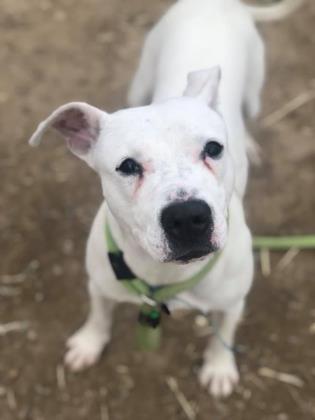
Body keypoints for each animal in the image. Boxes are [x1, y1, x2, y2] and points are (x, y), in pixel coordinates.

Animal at [30, 0, 304, 398]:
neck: (163, 274)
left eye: (213, 149)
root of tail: (220, 4)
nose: (188, 217)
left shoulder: (232, 303)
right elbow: (99, 313)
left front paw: (219, 367)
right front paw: (89, 342)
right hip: (140, 80)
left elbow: (223, 335)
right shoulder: (100, 283)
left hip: (253, 93)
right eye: (127, 166)